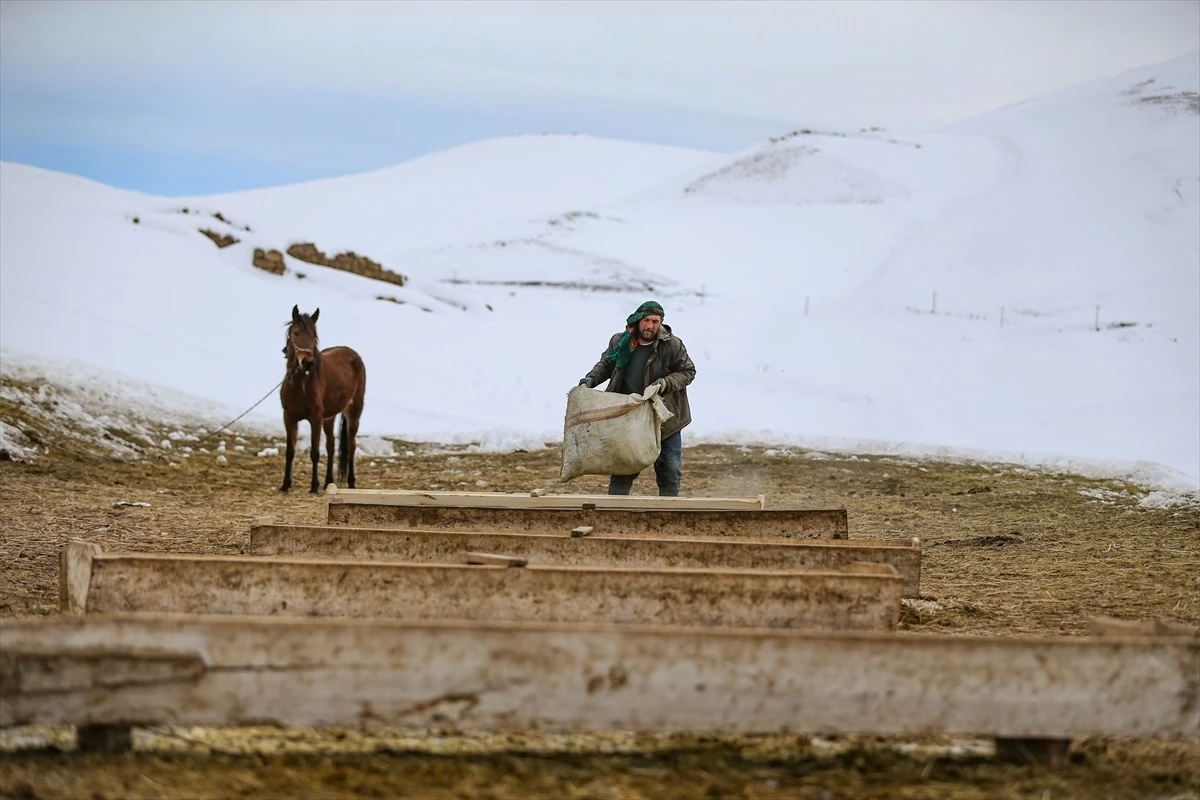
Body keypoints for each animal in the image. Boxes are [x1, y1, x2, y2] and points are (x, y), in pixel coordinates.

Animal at [279, 307, 364, 494]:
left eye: (313, 335)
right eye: (296, 333)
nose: (308, 363)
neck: (300, 386)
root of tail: (353, 353)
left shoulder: (315, 419)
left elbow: (315, 453)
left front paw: (313, 486)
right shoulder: (289, 417)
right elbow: (290, 451)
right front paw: (285, 485)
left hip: (353, 412)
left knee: (351, 446)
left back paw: (351, 483)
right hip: (329, 417)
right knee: (331, 445)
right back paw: (328, 482)